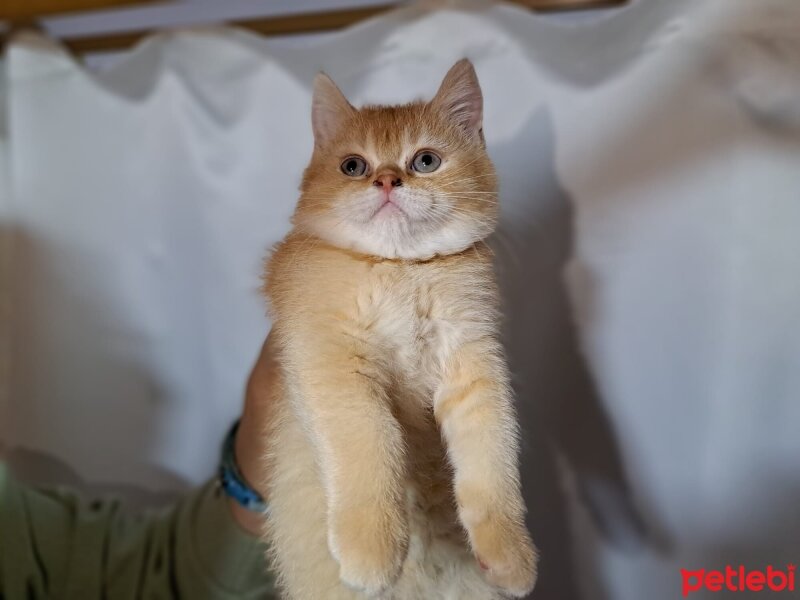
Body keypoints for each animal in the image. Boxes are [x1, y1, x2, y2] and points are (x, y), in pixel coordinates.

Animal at [264, 57, 536, 600]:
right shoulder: (329, 360)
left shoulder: (475, 364)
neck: (402, 271)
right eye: (353, 166)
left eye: (425, 161)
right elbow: (372, 438)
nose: (388, 181)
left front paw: (509, 552)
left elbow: (494, 459)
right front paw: (372, 544)